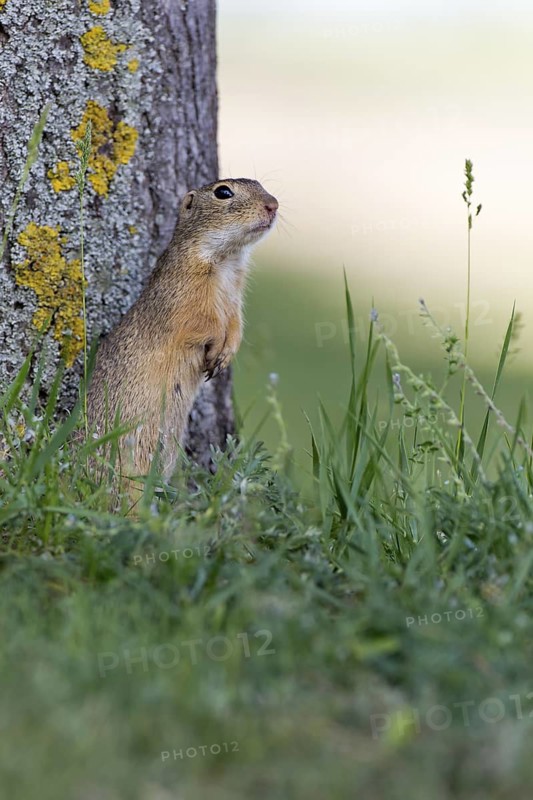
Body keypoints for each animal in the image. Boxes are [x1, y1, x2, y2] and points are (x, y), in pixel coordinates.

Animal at [87, 178, 278, 481]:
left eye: (260, 184)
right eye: (223, 192)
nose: (274, 204)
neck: (228, 261)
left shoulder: (235, 302)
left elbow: (235, 327)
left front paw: (226, 355)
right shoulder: (186, 298)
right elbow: (204, 325)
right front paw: (215, 351)